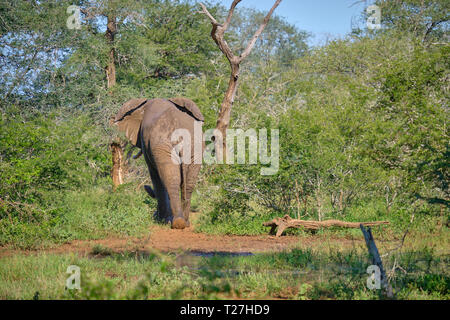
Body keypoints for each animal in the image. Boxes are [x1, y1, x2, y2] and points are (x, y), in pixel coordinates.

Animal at [112, 96, 204, 229]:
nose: (145, 187)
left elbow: (155, 176)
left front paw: (160, 220)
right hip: (195, 146)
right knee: (188, 183)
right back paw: (185, 223)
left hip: (162, 146)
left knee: (170, 180)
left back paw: (177, 223)